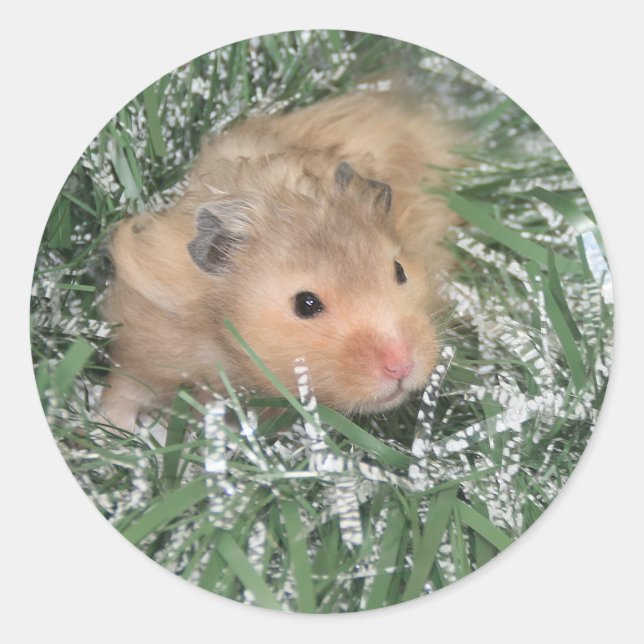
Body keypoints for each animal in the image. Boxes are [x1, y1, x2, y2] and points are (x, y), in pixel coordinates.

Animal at [100, 91, 461, 430]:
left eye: (400, 271)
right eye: (306, 304)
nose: (401, 366)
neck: (221, 338)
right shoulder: (144, 346)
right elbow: (124, 390)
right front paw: (118, 428)